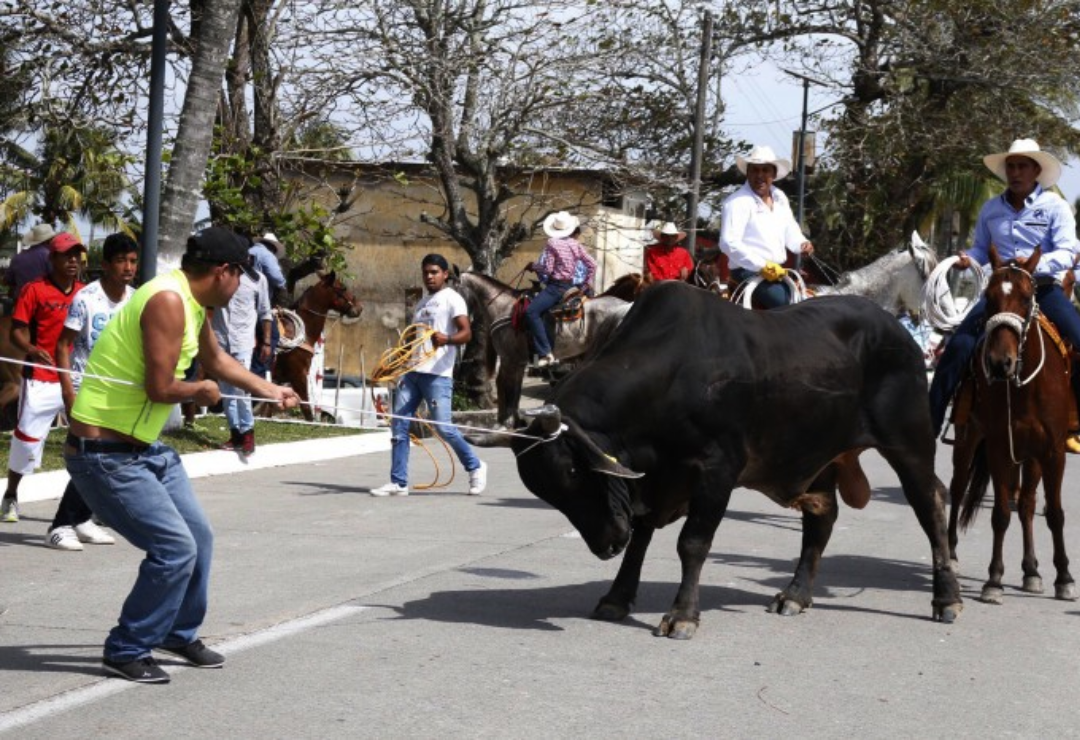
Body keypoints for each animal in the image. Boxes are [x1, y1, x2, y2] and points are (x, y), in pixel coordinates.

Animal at [449, 270, 630, 427]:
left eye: (452, 291)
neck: (503, 307)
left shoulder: (509, 359)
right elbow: (515, 391)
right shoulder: (518, 362)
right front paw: (515, 421)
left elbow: (506, 387)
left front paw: (506, 421)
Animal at [473, 280, 963, 639]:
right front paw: (616, 598)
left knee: (931, 508)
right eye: (546, 491)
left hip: (910, 444)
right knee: (822, 519)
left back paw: (947, 599)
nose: (605, 544)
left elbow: (692, 542)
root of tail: (897, 328)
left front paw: (682, 615)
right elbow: (642, 537)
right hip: (818, 457)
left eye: (574, 470)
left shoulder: (716, 470)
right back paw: (795, 595)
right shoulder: (655, 479)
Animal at [950, 245, 1075, 604]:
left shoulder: (1052, 451)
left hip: (1031, 456)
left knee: (1029, 504)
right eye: (988, 297)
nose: (998, 363)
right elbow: (1001, 514)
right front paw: (994, 580)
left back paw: (1032, 571)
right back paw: (950, 555)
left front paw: (1063, 577)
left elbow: (1054, 513)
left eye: (1026, 296)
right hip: (967, 439)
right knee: (957, 488)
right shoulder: (998, 447)